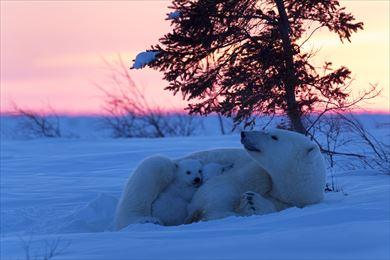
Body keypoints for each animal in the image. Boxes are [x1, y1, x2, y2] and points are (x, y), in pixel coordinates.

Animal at [115, 128, 326, 230]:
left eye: (273, 136)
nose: (244, 133)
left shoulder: (297, 201)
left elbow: (271, 207)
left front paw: (252, 202)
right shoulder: (254, 170)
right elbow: (224, 187)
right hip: (167, 168)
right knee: (155, 167)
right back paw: (145, 220)